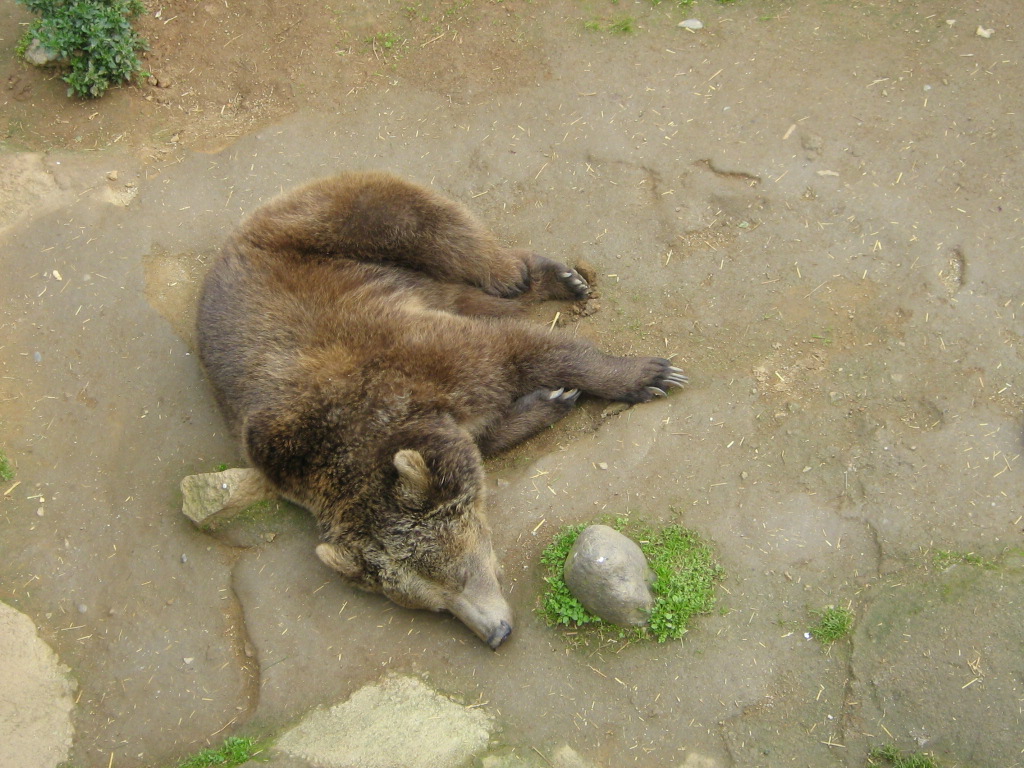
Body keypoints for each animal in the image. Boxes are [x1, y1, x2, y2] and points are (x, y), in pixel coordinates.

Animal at [195, 173, 684, 651]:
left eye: (459, 574)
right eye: (433, 604)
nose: (495, 634)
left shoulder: (402, 357)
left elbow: (518, 351)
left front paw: (648, 374)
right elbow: (485, 430)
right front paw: (549, 400)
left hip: (332, 229)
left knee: (442, 236)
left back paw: (550, 278)